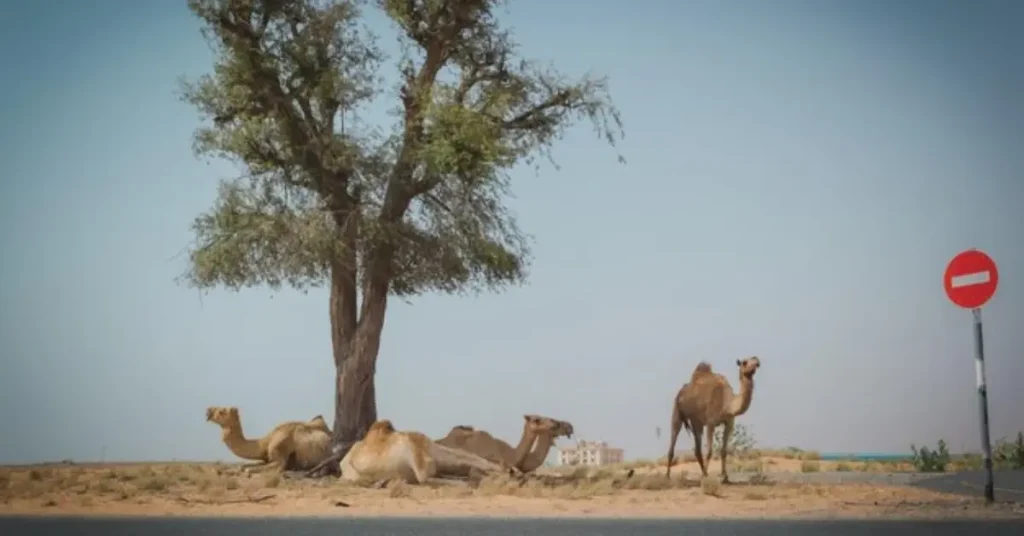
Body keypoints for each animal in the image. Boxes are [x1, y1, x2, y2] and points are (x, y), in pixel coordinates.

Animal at [205, 407, 333, 473]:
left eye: (221, 411)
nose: (208, 411)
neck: (265, 442)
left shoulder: (279, 458)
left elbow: (248, 470)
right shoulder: (265, 458)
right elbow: (243, 466)